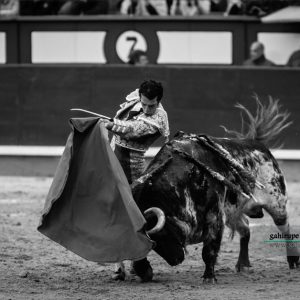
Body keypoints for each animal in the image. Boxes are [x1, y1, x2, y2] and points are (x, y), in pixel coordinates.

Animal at [132, 131, 300, 282]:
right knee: (245, 229)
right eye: (153, 242)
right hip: (232, 211)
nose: (176, 260)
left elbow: (209, 250)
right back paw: (243, 264)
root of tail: (260, 147)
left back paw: (293, 260)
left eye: (162, 234)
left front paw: (209, 277)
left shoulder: (215, 215)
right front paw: (143, 270)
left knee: (285, 227)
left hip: (276, 203)